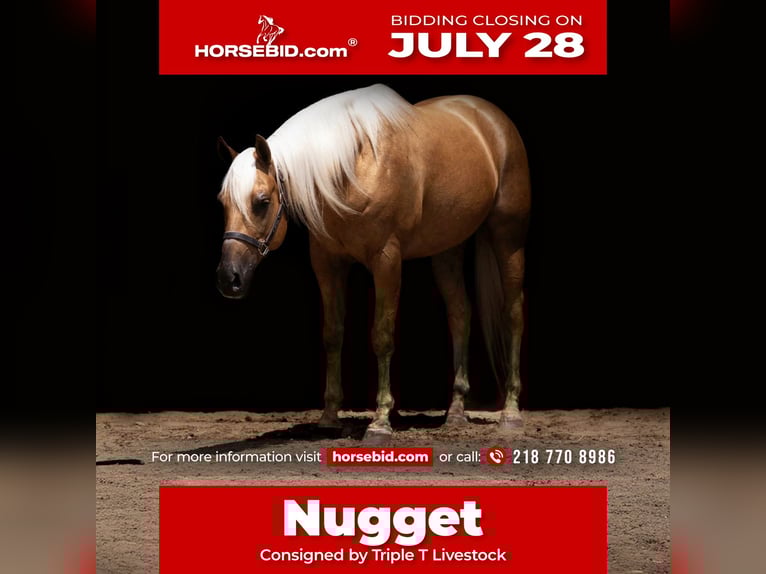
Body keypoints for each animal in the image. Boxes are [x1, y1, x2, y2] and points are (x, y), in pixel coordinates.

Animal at [216, 84, 530, 442]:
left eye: (262, 201)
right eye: (223, 202)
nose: (228, 279)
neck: (352, 167)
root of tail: (492, 119)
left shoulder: (386, 260)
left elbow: (382, 336)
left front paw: (380, 421)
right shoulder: (327, 263)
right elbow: (332, 334)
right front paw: (329, 417)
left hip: (508, 238)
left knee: (513, 314)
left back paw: (510, 414)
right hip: (447, 248)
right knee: (460, 313)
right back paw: (456, 412)